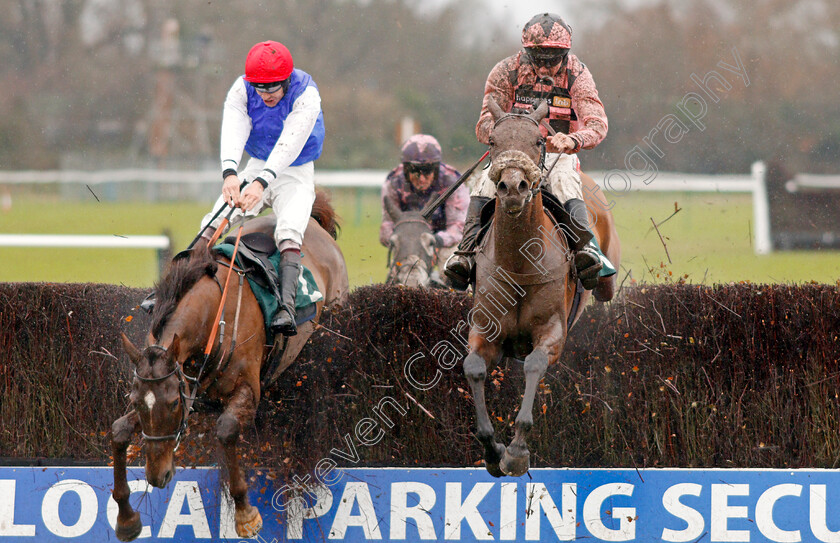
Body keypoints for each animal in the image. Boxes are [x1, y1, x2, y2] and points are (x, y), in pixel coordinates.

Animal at [111, 191, 348, 540]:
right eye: (137, 402)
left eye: (173, 404)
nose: (157, 476)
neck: (214, 321)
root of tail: (317, 225)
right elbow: (118, 431)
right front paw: (126, 518)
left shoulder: (247, 388)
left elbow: (225, 430)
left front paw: (245, 514)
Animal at [462, 100, 620, 478]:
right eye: (493, 140)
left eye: (538, 140)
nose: (513, 187)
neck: (519, 262)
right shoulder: (486, 331)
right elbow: (472, 368)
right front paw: (493, 450)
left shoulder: (553, 332)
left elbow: (534, 364)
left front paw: (517, 451)